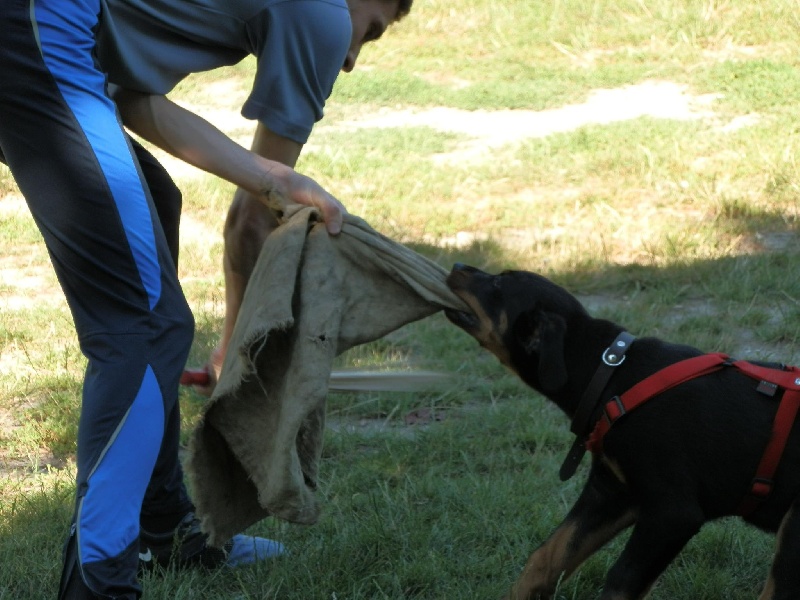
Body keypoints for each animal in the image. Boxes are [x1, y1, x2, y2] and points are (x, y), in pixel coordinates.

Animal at [446, 264, 800, 596]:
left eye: (498, 284)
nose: (457, 266)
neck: (610, 373)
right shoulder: (610, 492)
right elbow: (546, 558)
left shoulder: (672, 513)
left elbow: (620, 580)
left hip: (793, 525)